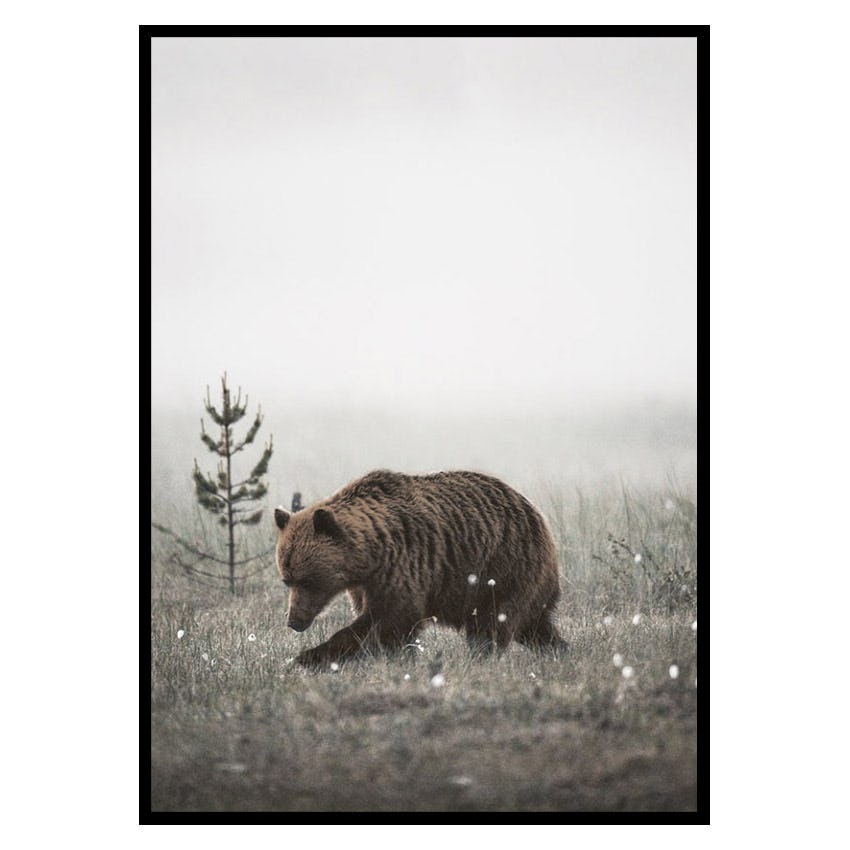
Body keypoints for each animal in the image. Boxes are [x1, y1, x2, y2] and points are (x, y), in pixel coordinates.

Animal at [273, 469, 565, 667]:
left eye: (309, 580)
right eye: (287, 580)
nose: (294, 621)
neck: (369, 556)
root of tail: (538, 514)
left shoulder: (402, 564)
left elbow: (390, 619)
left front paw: (309, 656)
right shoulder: (364, 584)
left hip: (503, 568)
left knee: (493, 622)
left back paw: (480, 657)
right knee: (535, 626)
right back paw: (559, 650)